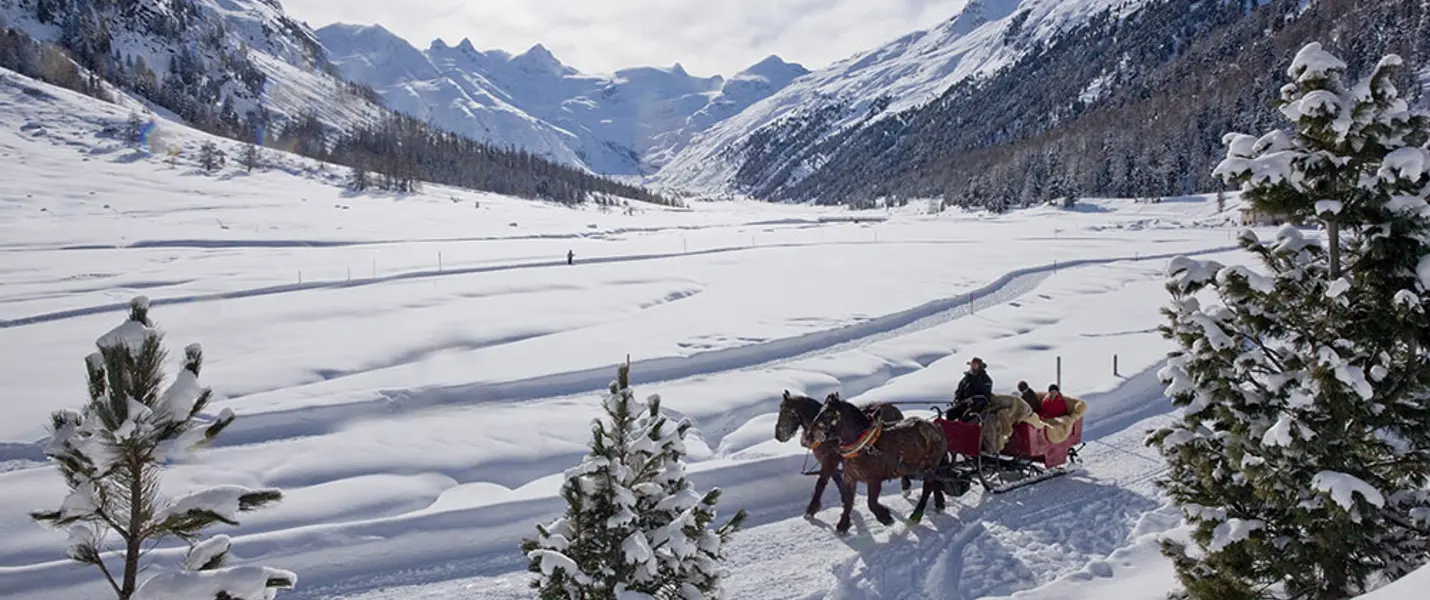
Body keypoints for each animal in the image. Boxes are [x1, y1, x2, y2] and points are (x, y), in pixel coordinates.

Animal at [777, 394, 909, 514]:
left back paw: (906, 487)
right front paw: (845, 498)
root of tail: (893, 408)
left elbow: (821, 482)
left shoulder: (830, 460)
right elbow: (836, 479)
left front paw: (811, 509)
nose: (778, 435)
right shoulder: (831, 462)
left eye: (786, 413)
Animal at [812, 394, 943, 534]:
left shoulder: (874, 480)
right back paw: (939, 503)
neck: (864, 445)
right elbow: (848, 501)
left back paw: (916, 514)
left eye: (827, 414)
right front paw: (843, 525)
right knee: (935, 482)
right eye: (820, 411)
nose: (812, 433)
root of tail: (935, 426)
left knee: (927, 488)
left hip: (929, 466)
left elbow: (871, 503)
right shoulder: (850, 478)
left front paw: (885, 517)